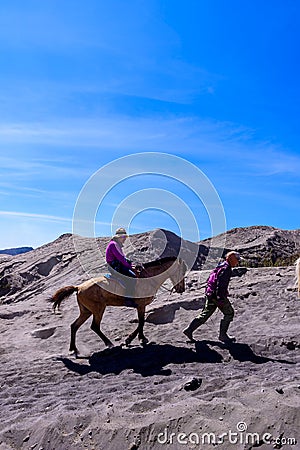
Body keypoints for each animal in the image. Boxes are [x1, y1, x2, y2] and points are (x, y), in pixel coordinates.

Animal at [51, 256, 188, 356]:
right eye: (182, 271)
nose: (182, 289)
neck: (148, 278)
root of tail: (78, 287)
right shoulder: (141, 305)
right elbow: (141, 322)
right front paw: (131, 339)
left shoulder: (141, 306)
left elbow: (141, 322)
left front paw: (139, 338)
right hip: (98, 310)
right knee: (94, 326)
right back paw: (109, 344)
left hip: (86, 311)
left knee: (74, 326)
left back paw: (74, 349)